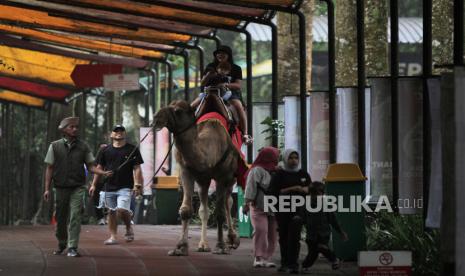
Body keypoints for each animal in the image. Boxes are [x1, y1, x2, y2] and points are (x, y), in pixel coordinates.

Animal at [154, 98, 241, 254]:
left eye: (177, 111)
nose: (156, 118)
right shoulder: (187, 172)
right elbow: (186, 210)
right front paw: (181, 247)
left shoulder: (222, 176)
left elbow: (219, 212)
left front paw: (220, 246)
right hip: (203, 182)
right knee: (204, 208)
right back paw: (203, 245)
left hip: (231, 178)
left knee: (228, 201)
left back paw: (231, 239)